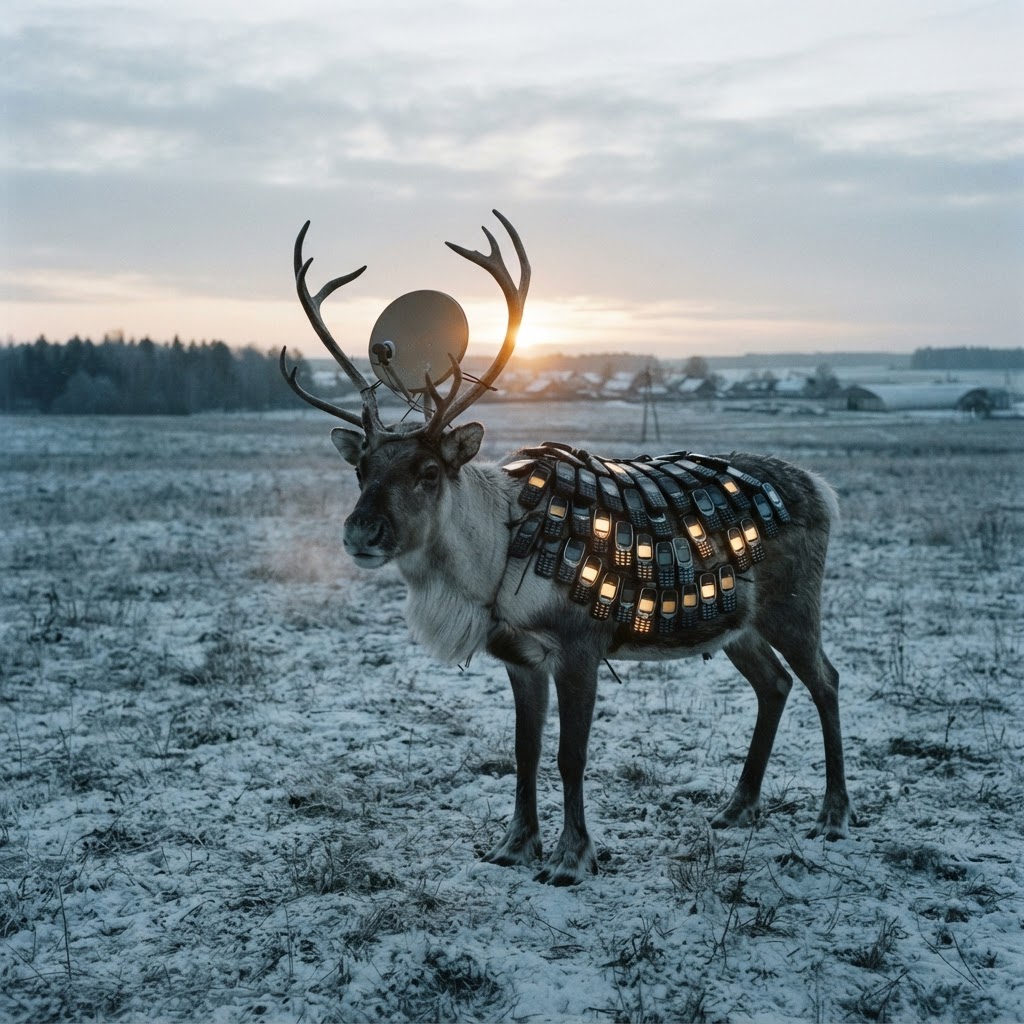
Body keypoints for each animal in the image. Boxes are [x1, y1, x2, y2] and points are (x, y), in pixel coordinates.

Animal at [280, 210, 852, 886]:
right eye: (361, 468)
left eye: (428, 470)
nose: (361, 532)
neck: (493, 559)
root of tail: (823, 489)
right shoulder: (520, 658)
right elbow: (525, 753)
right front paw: (513, 845)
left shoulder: (580, 647)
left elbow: (569, 756)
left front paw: (572, 857)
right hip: (738, 624)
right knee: (775, 684)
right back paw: (738, 807)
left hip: (794, 605)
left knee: (825, 680)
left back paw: (834, 815)